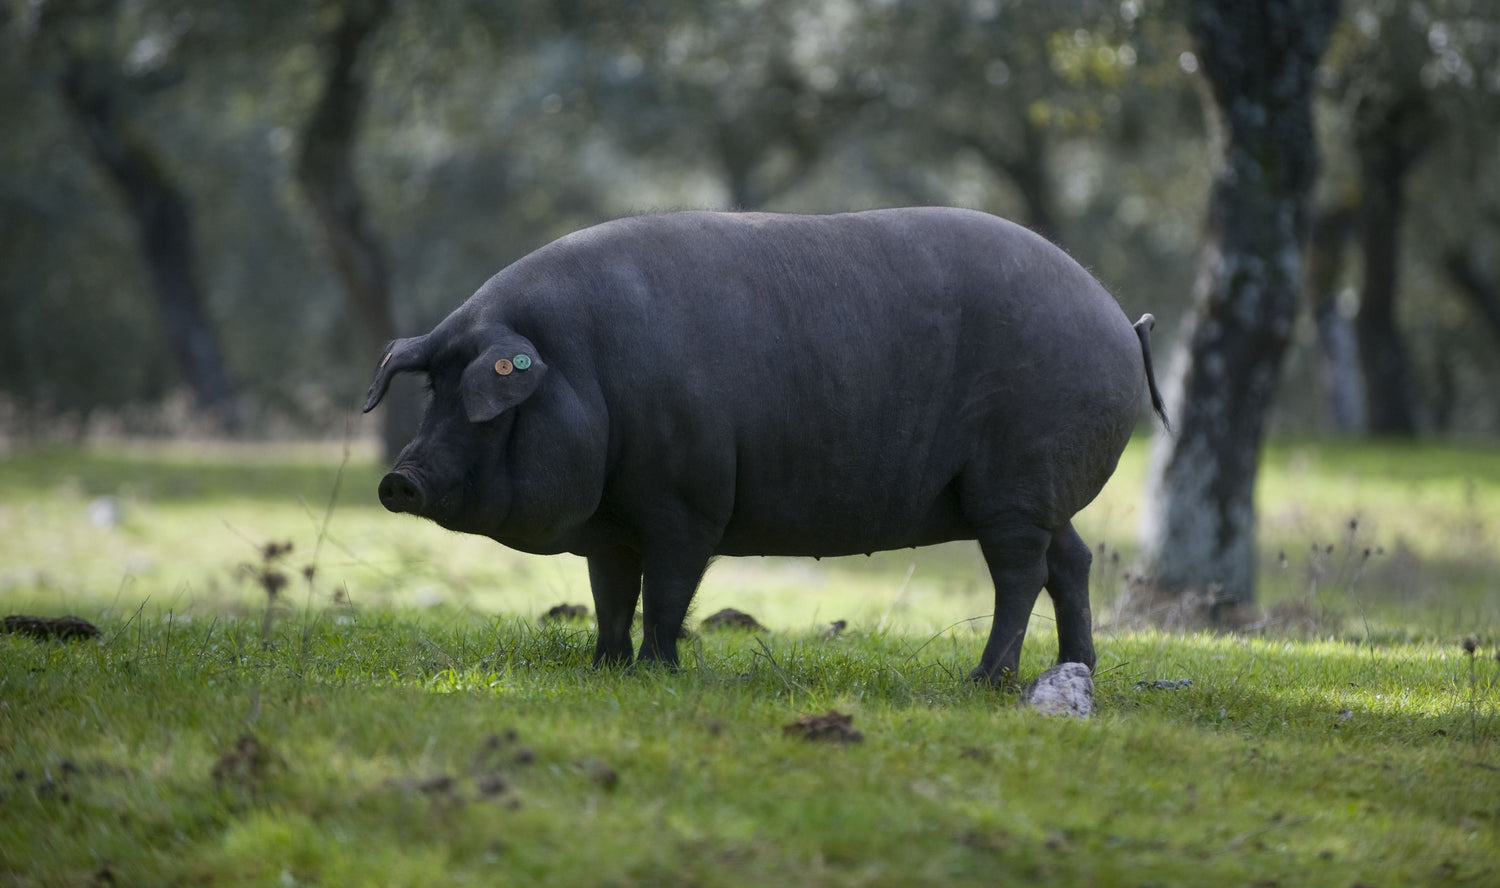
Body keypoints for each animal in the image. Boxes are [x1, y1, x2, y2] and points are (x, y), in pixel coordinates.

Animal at [363, 208, 1167, 682]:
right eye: (433, 391)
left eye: (483, 407)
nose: (400, 479)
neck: (586, 371)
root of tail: (1120, 320)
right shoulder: (612, 523)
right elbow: (611, 594)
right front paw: (604, 668)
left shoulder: (687, 503)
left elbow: (667, 593)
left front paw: (655, 672)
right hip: (1043, 493)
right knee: (1072, 561)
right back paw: (1076, 672)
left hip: (1017, 483)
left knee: (1022, 573)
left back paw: (984, 681)